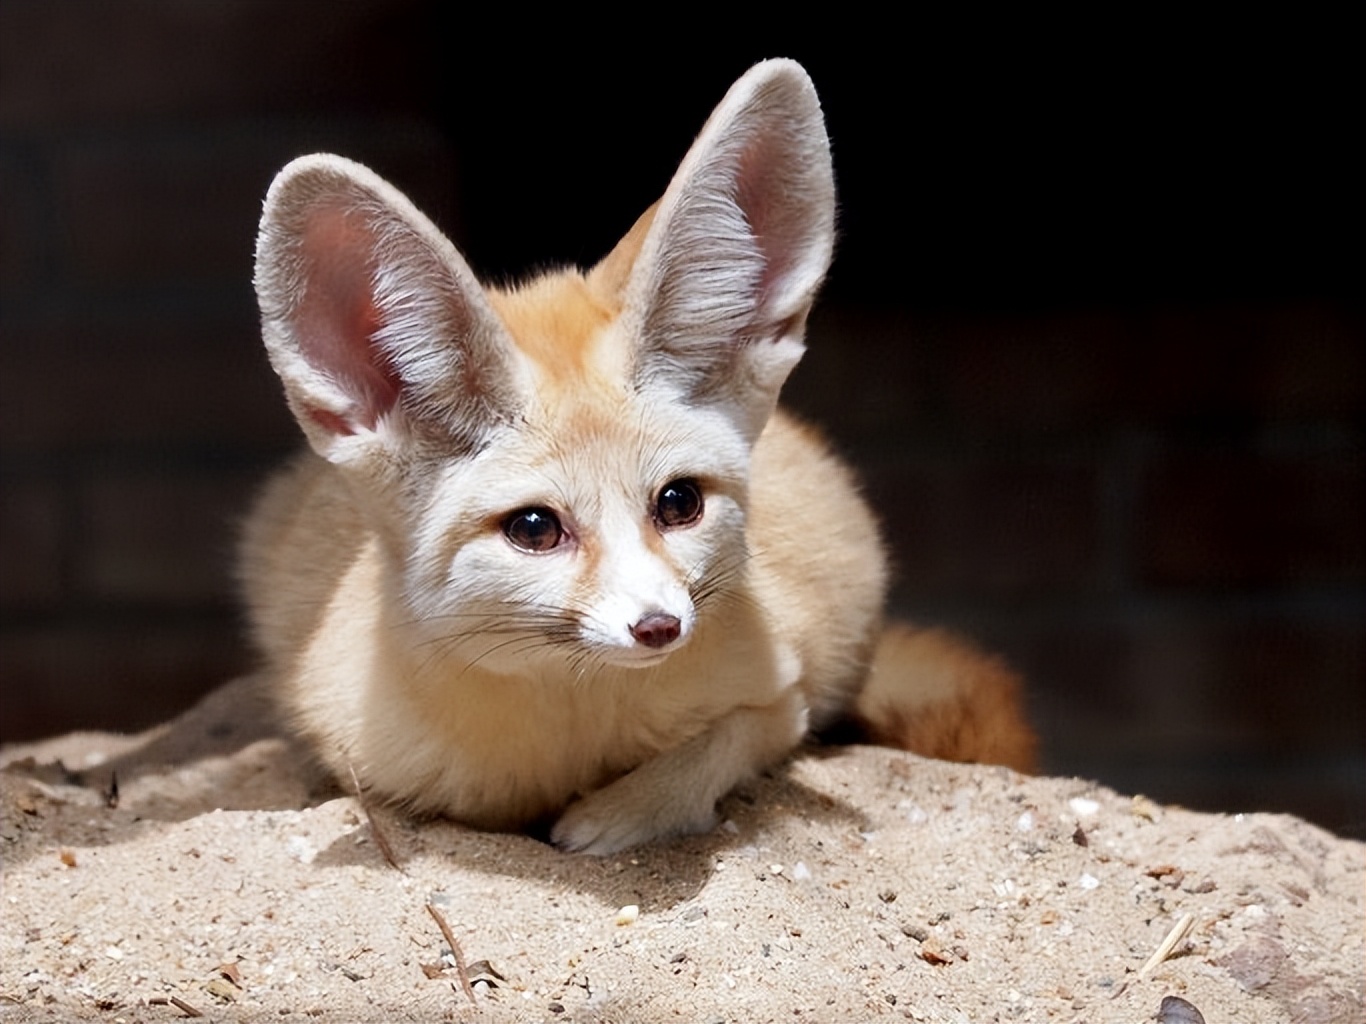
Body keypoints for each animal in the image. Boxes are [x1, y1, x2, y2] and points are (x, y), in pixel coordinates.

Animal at [245, 58, 1032, 857]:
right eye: (534, 529)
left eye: (679, 503)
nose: (659, 627)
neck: (576, 729)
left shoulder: (784, 695)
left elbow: (717, 747)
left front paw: (615, 816)